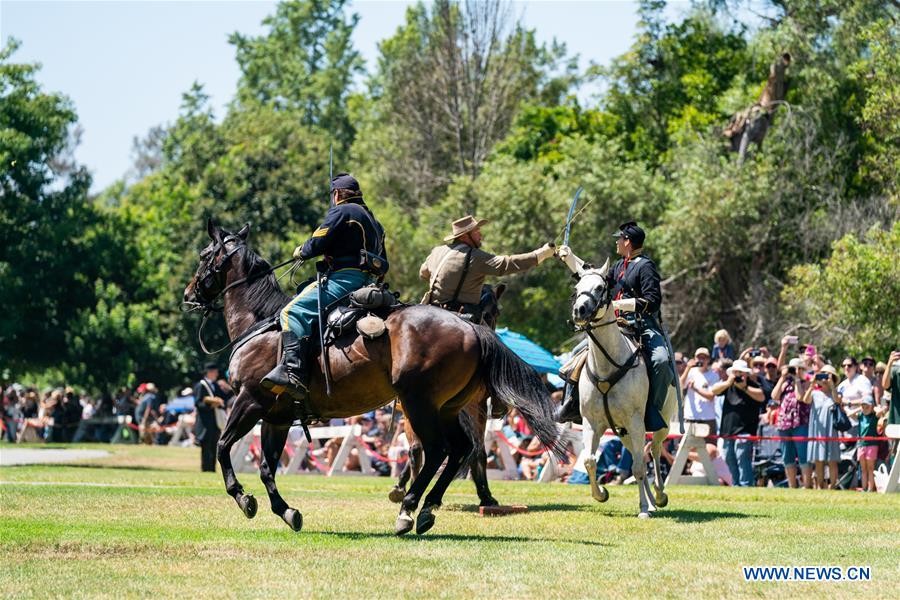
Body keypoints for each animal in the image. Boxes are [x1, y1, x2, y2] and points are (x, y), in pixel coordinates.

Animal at [568, 260, 676, 516]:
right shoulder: (592, 423)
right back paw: (652, 501)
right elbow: (589, 461)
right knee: (642, 458)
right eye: (577, 287)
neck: (608, 364)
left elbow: (636, 467)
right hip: (623, 431)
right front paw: (601, 494)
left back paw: (658, 497)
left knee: (653, 451)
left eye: (600, 287)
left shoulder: (636, 421)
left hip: (661, 425)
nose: (580, 311)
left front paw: (643, 509)